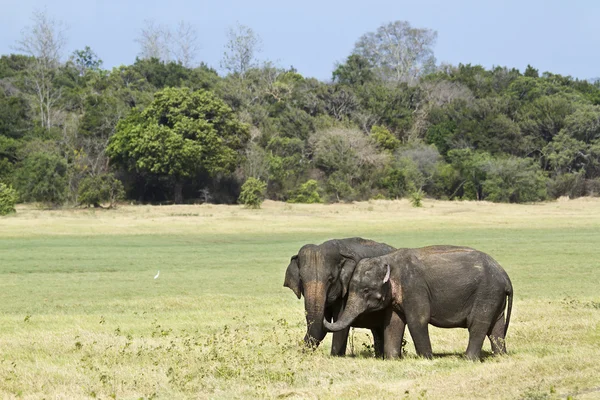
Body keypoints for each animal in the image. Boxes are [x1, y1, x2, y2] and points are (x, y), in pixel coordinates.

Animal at [322, 245, 512, 360]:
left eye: (366, 291)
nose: (326, 313)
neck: (388, 260)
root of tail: (505, 277)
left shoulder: (414, 287)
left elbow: (417, 320)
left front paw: (427, 358)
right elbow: (393, 323)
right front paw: (392, 359)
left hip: (487, 293)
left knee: (478, 324)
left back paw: (468, 359)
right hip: (495, 297)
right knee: (496, 327)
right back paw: (500, 357)